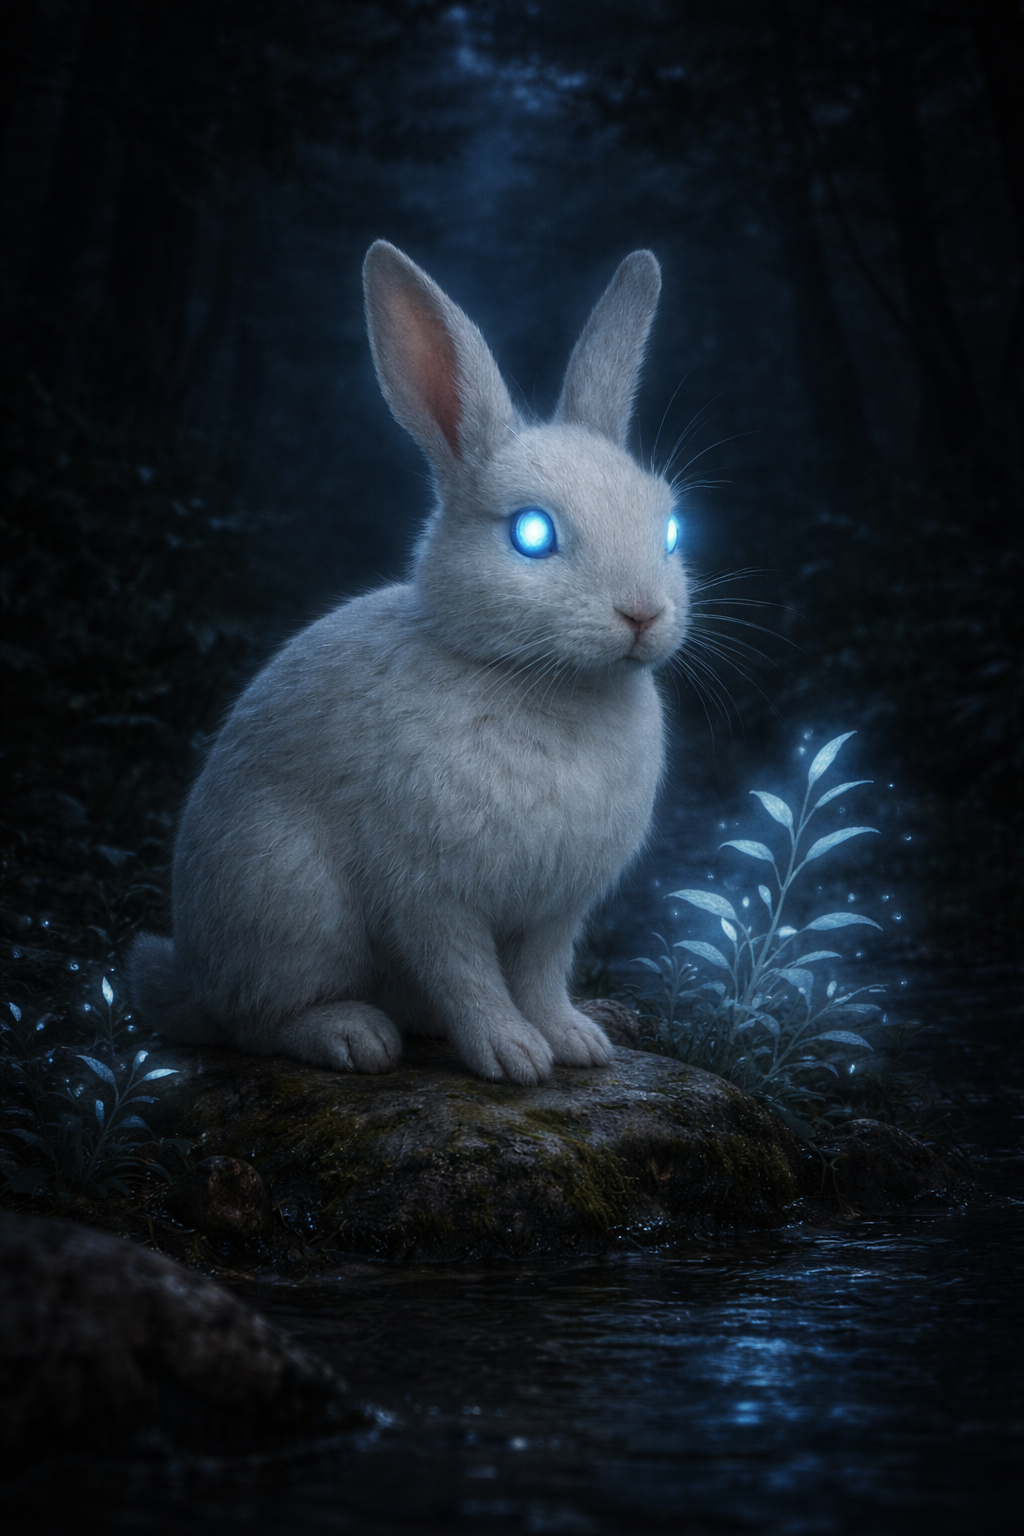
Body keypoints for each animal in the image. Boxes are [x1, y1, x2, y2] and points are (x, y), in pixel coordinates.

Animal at [128, 241, 689, 1085]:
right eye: (531, 534)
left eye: (671, 528)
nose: (643, 613)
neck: (538, 679)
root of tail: (190, 976)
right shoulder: (429, 895)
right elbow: (469, 975)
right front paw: (513, 1056)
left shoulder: (556, 910)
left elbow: (540, 976)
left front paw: (575, 1043)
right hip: (291, 906)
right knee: (252, 1022)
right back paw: (352, 1037)